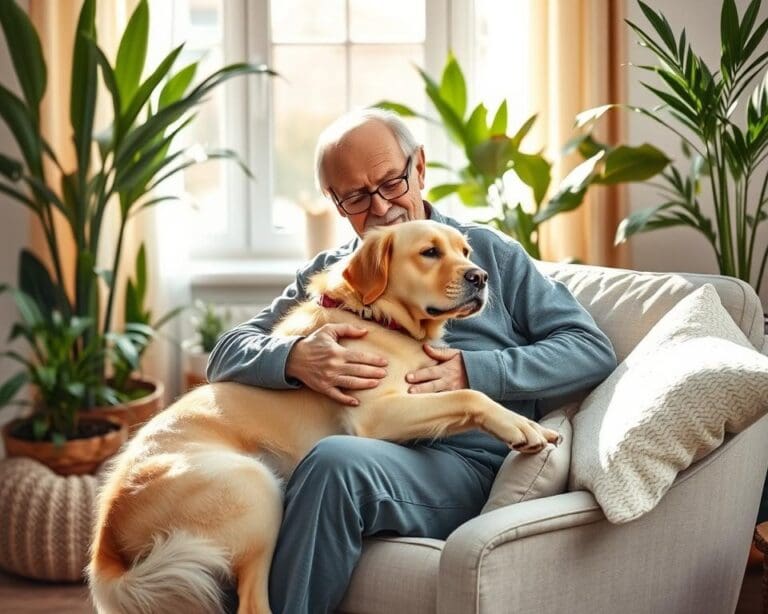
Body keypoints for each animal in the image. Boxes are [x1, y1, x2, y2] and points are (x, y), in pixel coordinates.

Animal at [88, 221, 560, 614]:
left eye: (465, 251)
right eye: (429, 252)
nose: (480, 277)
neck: (377, 315)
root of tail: (106, 537)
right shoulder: (377, 414)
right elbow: (469, 393)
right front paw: (521, 427)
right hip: (256, 488)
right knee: (254, 605)